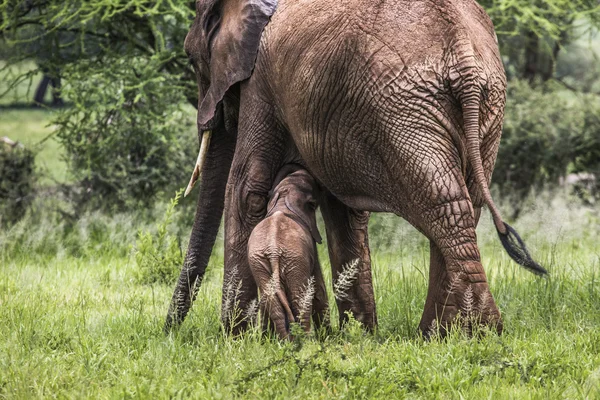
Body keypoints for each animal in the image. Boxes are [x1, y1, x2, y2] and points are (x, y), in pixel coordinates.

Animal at [247, 164, 328, 340]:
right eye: (313, 204)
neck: (284, 196)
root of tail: (273, 251)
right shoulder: (311, 249)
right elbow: (318, 287)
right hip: (295, 261)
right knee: (301, 302)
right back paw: (307, 341)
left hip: (260, 263)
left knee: (272, 302)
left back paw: (286, 341)